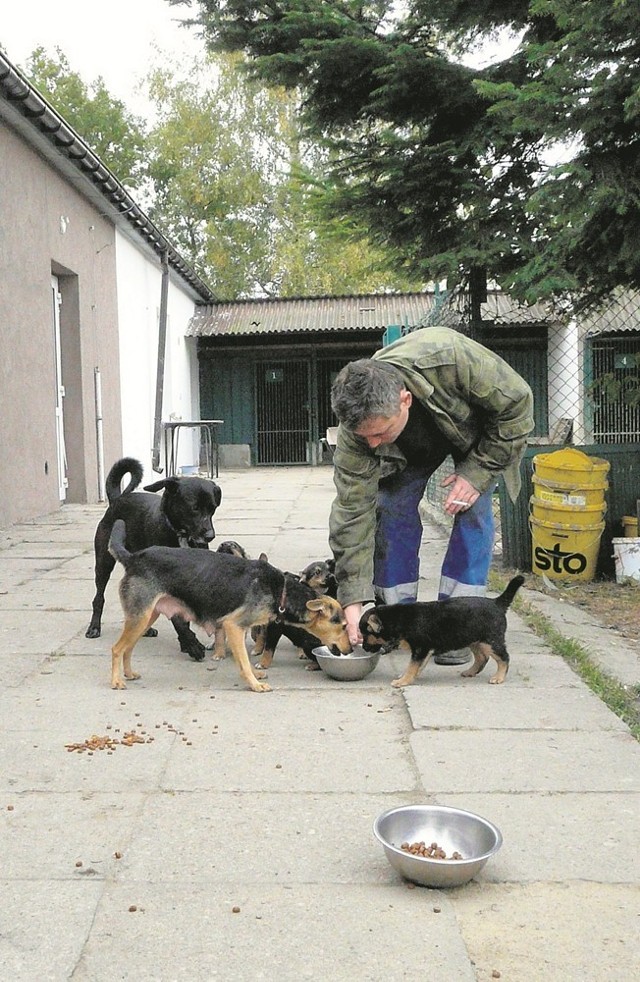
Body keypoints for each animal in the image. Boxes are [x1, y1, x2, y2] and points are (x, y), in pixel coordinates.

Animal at [86, 456, 222, 660]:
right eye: (194, 508)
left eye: (212, 508)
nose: (210, 536)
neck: (179, 533)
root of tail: (117, 499)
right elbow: (178, 619)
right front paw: (191, 644)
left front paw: (185, 643)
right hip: (103, 562)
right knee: (98, 597)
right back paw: (94, 627)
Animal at [109, 524, 350, 692]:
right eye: (343, 626)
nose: (349, 650)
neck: (280, 590)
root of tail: (133, 558)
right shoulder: (234, 626)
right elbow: (243, 660)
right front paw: (254, 684)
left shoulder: (239, 630)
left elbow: (245, 658)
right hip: (139, 617)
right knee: (117, 649)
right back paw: (116, 681)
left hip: (145, 616)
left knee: (128, 648)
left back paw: (128, 674)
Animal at [360, 572, 524, 688]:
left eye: (365, 634)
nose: (365, 648)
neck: (397, 619)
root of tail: (497, 603)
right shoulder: (424, 651)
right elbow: (417, 666)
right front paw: (408, 677)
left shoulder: (420, 648)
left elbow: (412, 666)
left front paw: (403, 681)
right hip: (474, 640)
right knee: (482, 658)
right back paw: (470, 672)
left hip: (491, 641)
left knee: (504, 658)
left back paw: (499, 677)